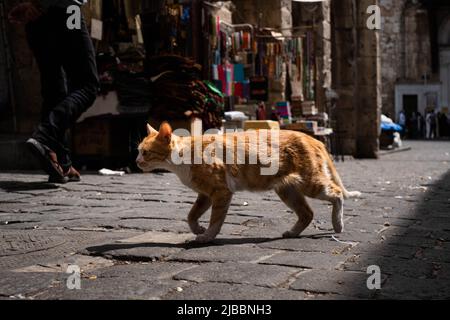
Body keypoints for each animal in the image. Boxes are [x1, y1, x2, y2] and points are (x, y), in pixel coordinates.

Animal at [137, 122, 362, 242]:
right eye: (139, 151)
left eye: (145, 152)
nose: (136, 161)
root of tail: (313, 138)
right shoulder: (205, 195)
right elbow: (191, 215)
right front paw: (198, 229)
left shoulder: (220, 192)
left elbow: (215, 219)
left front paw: (207, 235)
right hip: (287, 189)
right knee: (307, 213)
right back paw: (292, 232)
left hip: (311, 183)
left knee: (337, 194)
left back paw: (338, 224)